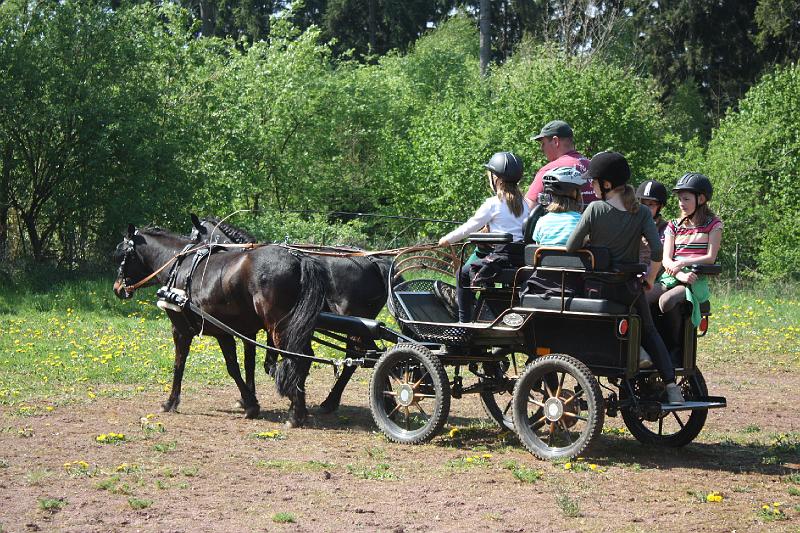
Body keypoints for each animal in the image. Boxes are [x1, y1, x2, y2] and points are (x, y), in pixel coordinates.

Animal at [112, 223, 324, 424]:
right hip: (295, 328)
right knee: (305, 358)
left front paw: (171, 402)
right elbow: (242, 365)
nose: (117, 288)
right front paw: (249, 401)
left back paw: (295, 414)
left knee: (296, 358)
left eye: (122, 254)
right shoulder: (234, 332)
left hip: (280, 328)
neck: (180, 268)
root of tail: (298, 259)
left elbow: (184, 365)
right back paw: (301, 408)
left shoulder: (184, 330)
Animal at [191, 214, 396, 414]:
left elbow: (264, 361)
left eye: (194, 236)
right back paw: (386, 399)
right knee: (374, 353)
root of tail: (374, 262)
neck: (241, 265)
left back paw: (333, 401)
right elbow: (256, 361)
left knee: (360, 356)